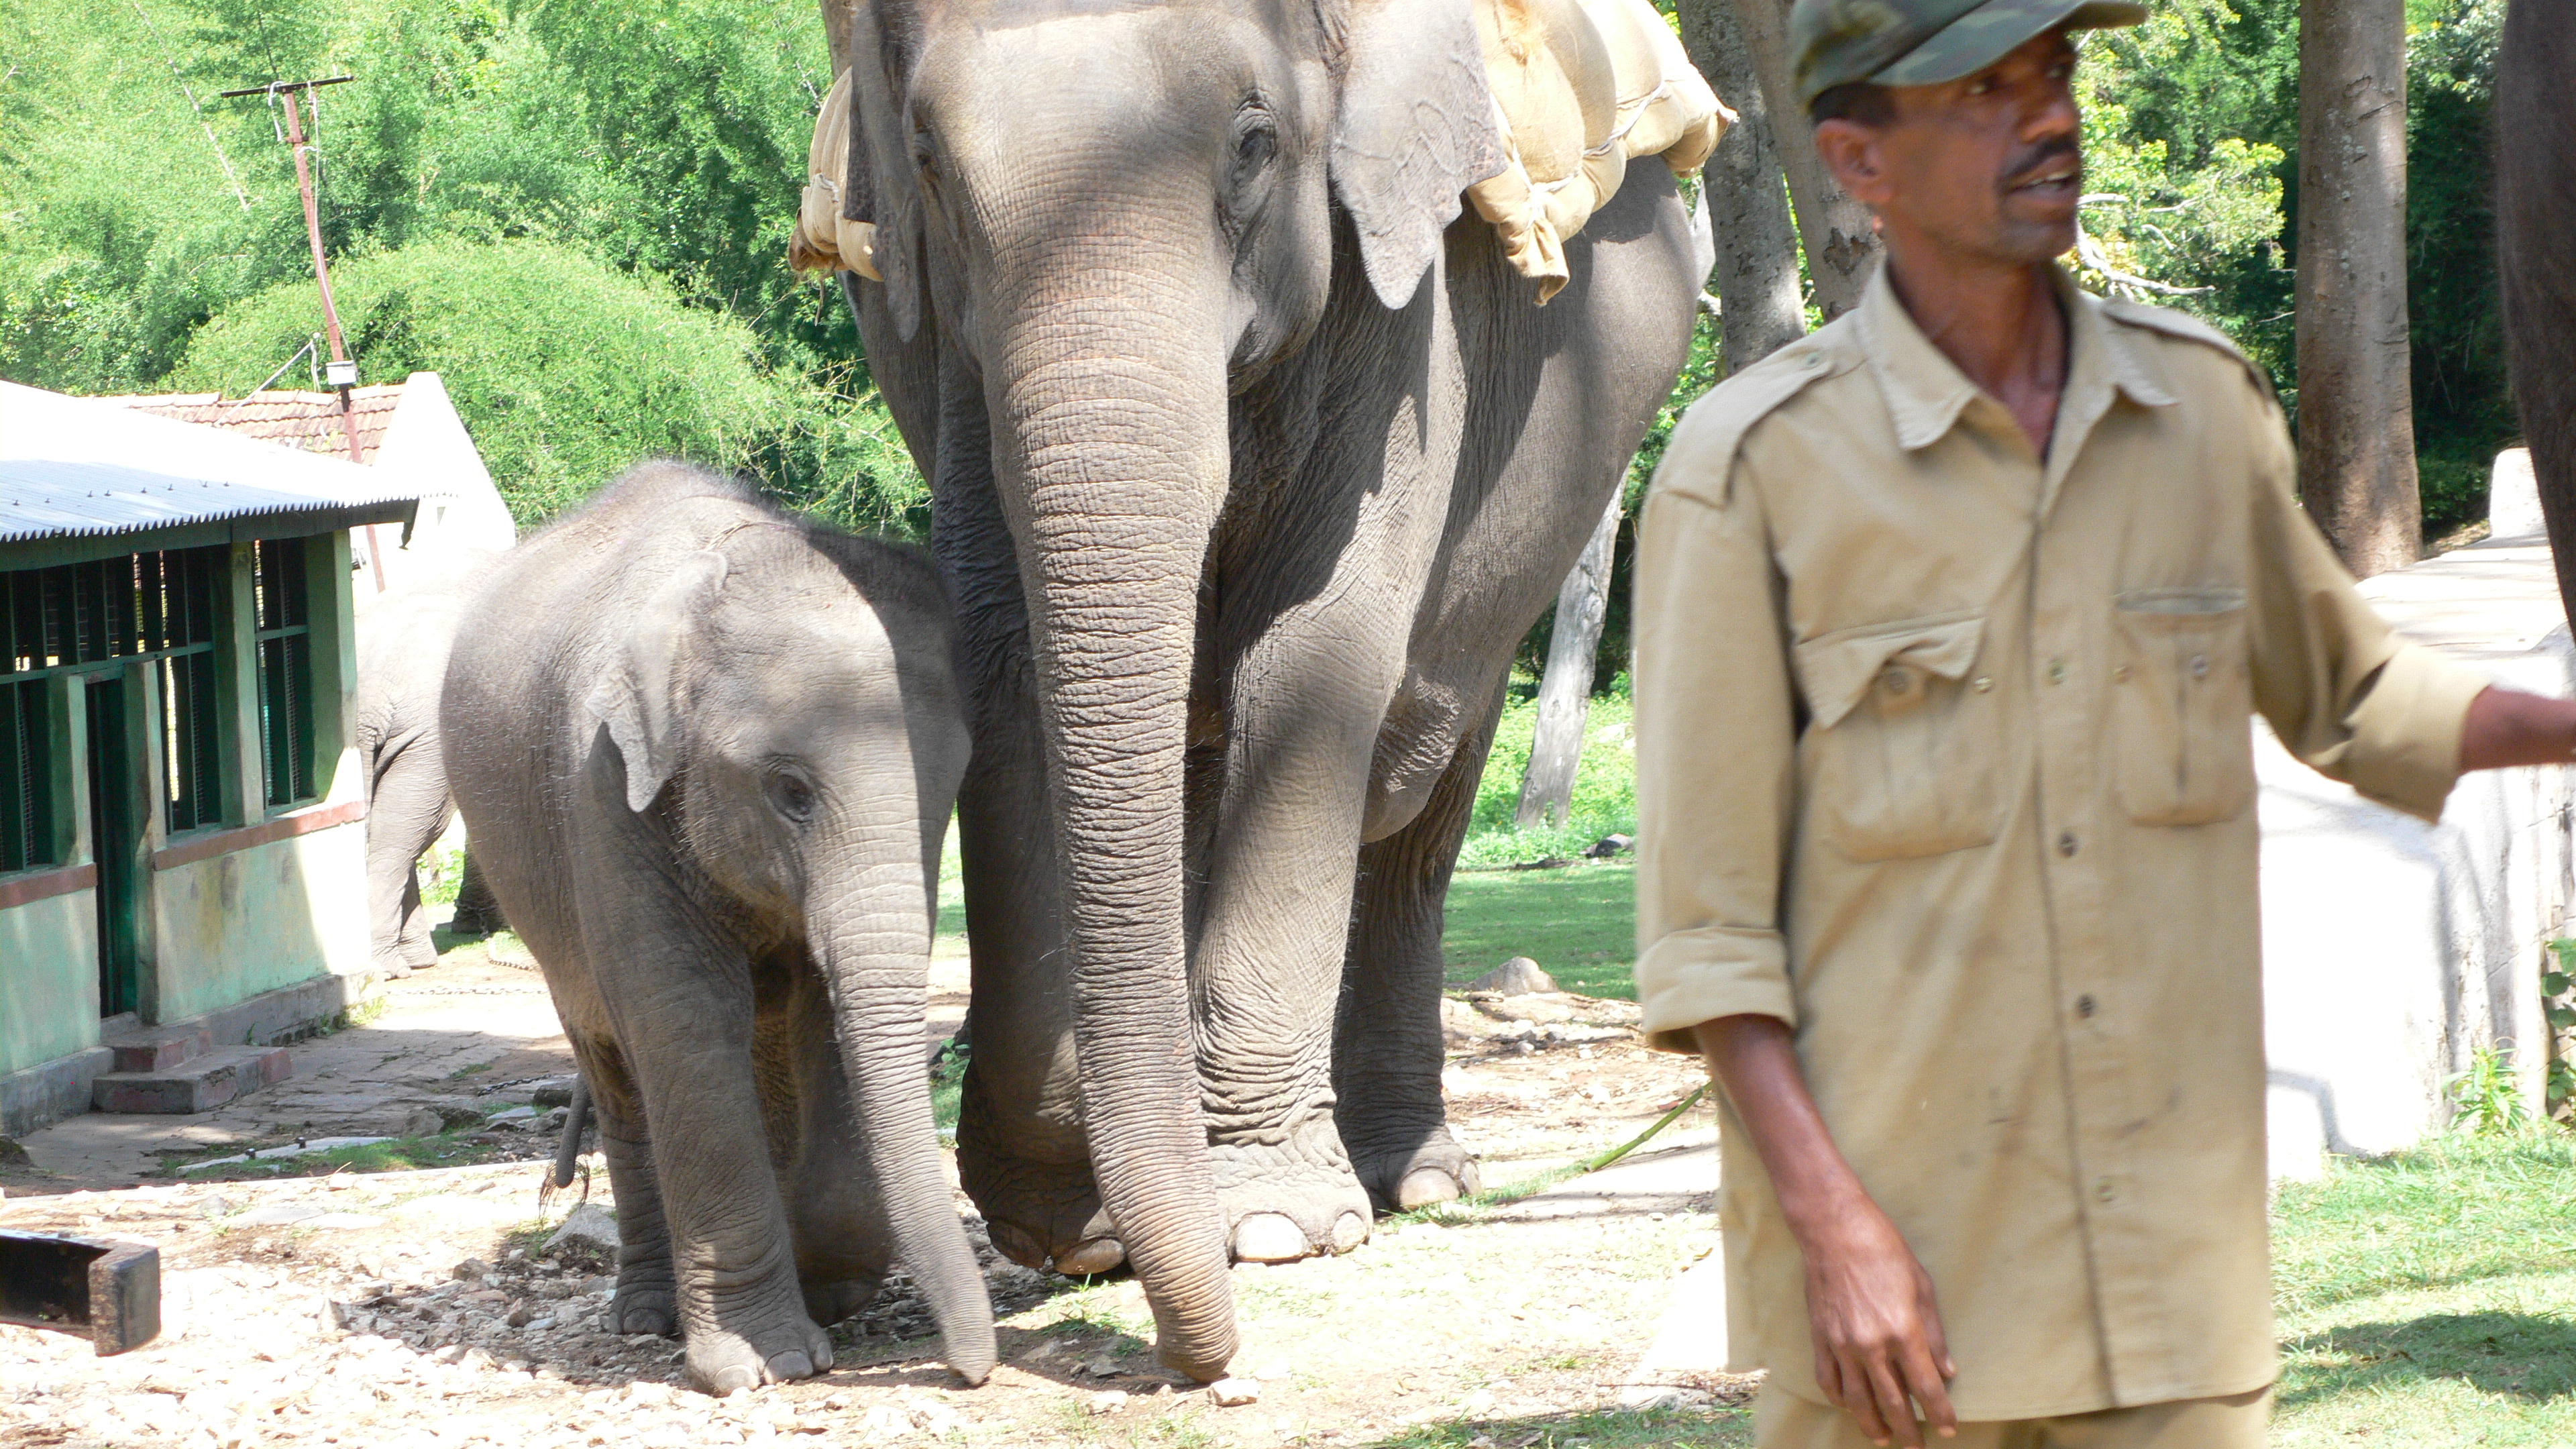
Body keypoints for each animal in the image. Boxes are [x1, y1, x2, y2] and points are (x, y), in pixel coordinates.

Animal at [440, 461, 995, 1392]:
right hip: (540, 905)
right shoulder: (605, 790)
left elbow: (820, 1020)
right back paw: (646, 1315)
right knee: (620, 1073)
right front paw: (763, 1363)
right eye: (790, 792)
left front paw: (827, 1286)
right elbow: (689, 1021)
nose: (973, 1372)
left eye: (952, 784)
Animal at [819, 0, 1704, 1378]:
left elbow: (1314, 657)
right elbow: (1004, 644)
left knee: (1422, 771)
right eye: (927, 166)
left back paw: (1416, 1181)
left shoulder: (1401, 293)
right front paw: (1075, 1222)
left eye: (1253, 144)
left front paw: (1277, 1229)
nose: (1208, 1361)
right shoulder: (952, 342)